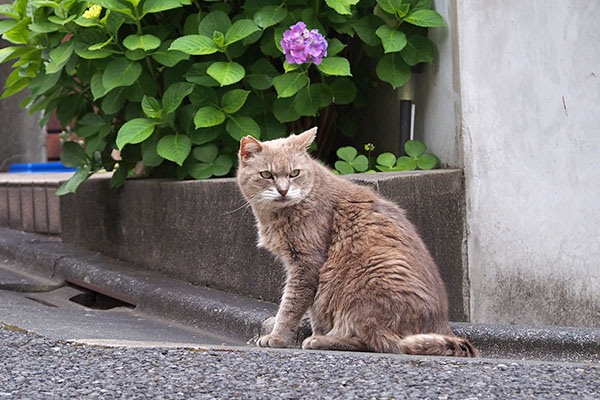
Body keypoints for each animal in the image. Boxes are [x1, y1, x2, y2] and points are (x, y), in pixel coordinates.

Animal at [237, 127, 476, 356]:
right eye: (266, 175)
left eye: (294, 173)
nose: (283, 190)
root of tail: (443, 327)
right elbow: (315, 310)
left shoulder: (307, 263)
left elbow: (290, 306)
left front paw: (278, 337)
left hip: (370, 278)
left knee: (380, 342)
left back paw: (322, 340)